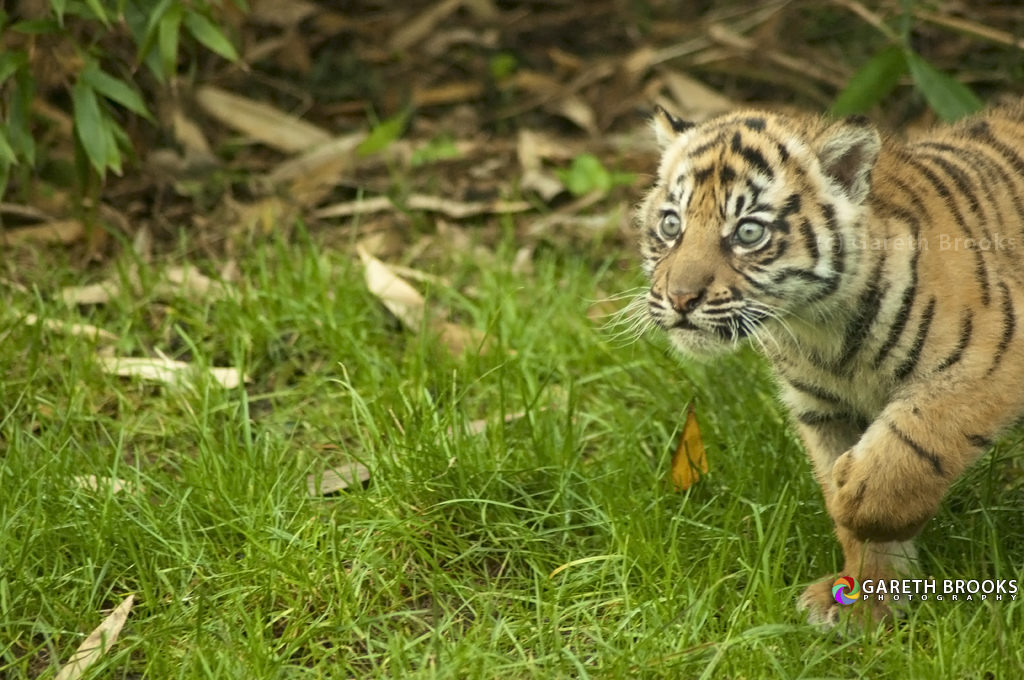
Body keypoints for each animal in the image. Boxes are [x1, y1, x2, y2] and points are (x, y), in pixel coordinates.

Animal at [634, 101, 1024, 626]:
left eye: (749, 232)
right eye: (671, 225)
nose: (680, 299)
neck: (818, 327)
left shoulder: (990, 358)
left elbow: (913, 445)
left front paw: (854, 500)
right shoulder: (823, 409)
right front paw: (865, 598)